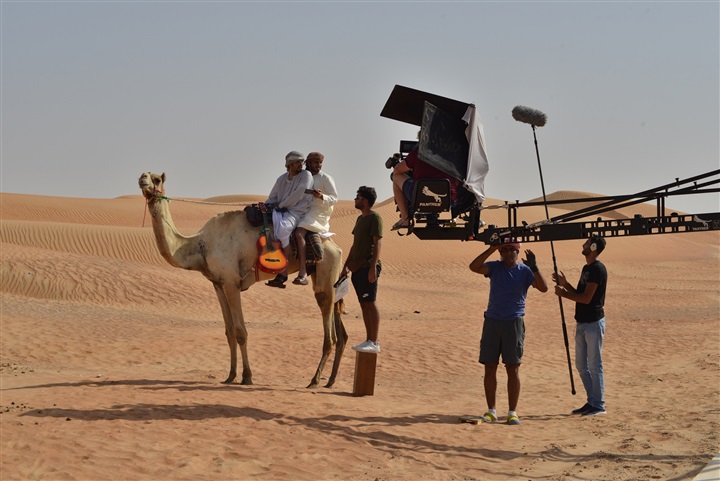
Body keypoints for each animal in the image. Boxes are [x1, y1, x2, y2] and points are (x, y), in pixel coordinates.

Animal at [139, 171, 348, 388]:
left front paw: (247, 376)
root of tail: (334, 245)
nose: (142, 178)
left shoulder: (232, 282)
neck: (200, 246)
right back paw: (330, 380)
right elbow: (229, 332)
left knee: (329, 328)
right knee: (339, 326)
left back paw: (314, 380)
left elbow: (241, 332)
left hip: (326, 271)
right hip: (327, 278)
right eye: (145, 175)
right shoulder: (218, 284)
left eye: (157, 179)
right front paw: (230, 375)